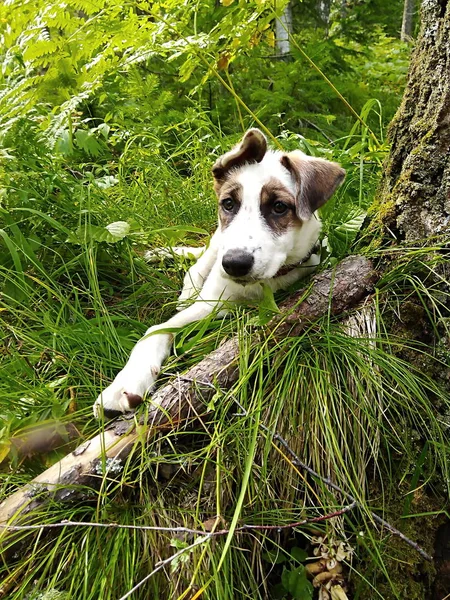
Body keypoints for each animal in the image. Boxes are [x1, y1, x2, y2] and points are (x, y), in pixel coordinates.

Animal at [94, 127, 344, 418]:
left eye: (280, 207)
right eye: (228, 203)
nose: (234, 263)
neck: (261, 285)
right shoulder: (211, 301)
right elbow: (155, 331)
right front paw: (126, 383)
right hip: (217, 240)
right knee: (198, 264)